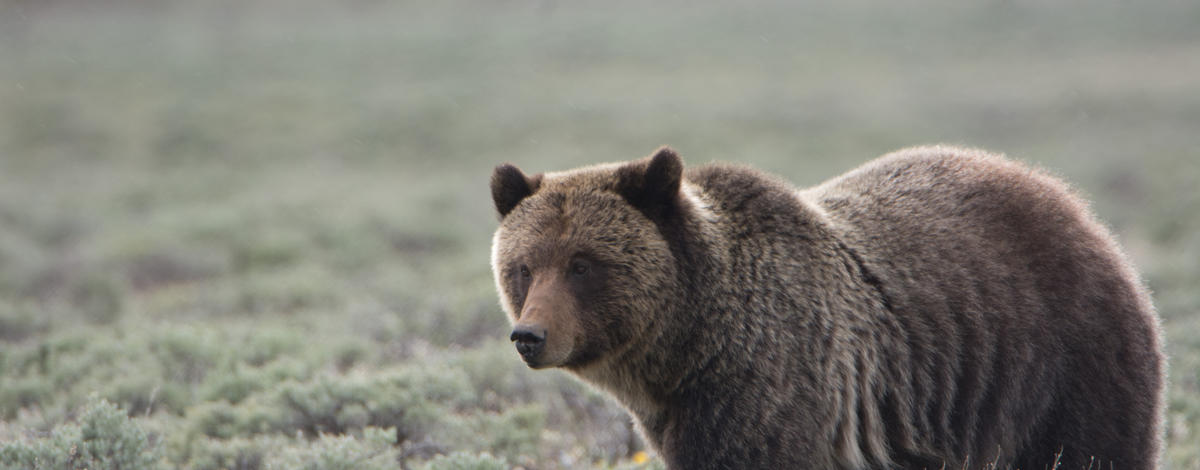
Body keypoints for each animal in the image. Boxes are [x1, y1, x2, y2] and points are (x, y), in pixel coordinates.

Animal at [488, 145, 1165, 470]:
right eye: (523, 266)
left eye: (582, 264)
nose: (530, 335)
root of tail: (1069, 200)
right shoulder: (681, 418)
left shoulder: (773, 388)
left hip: (1062, 361)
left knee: (1095, 450)